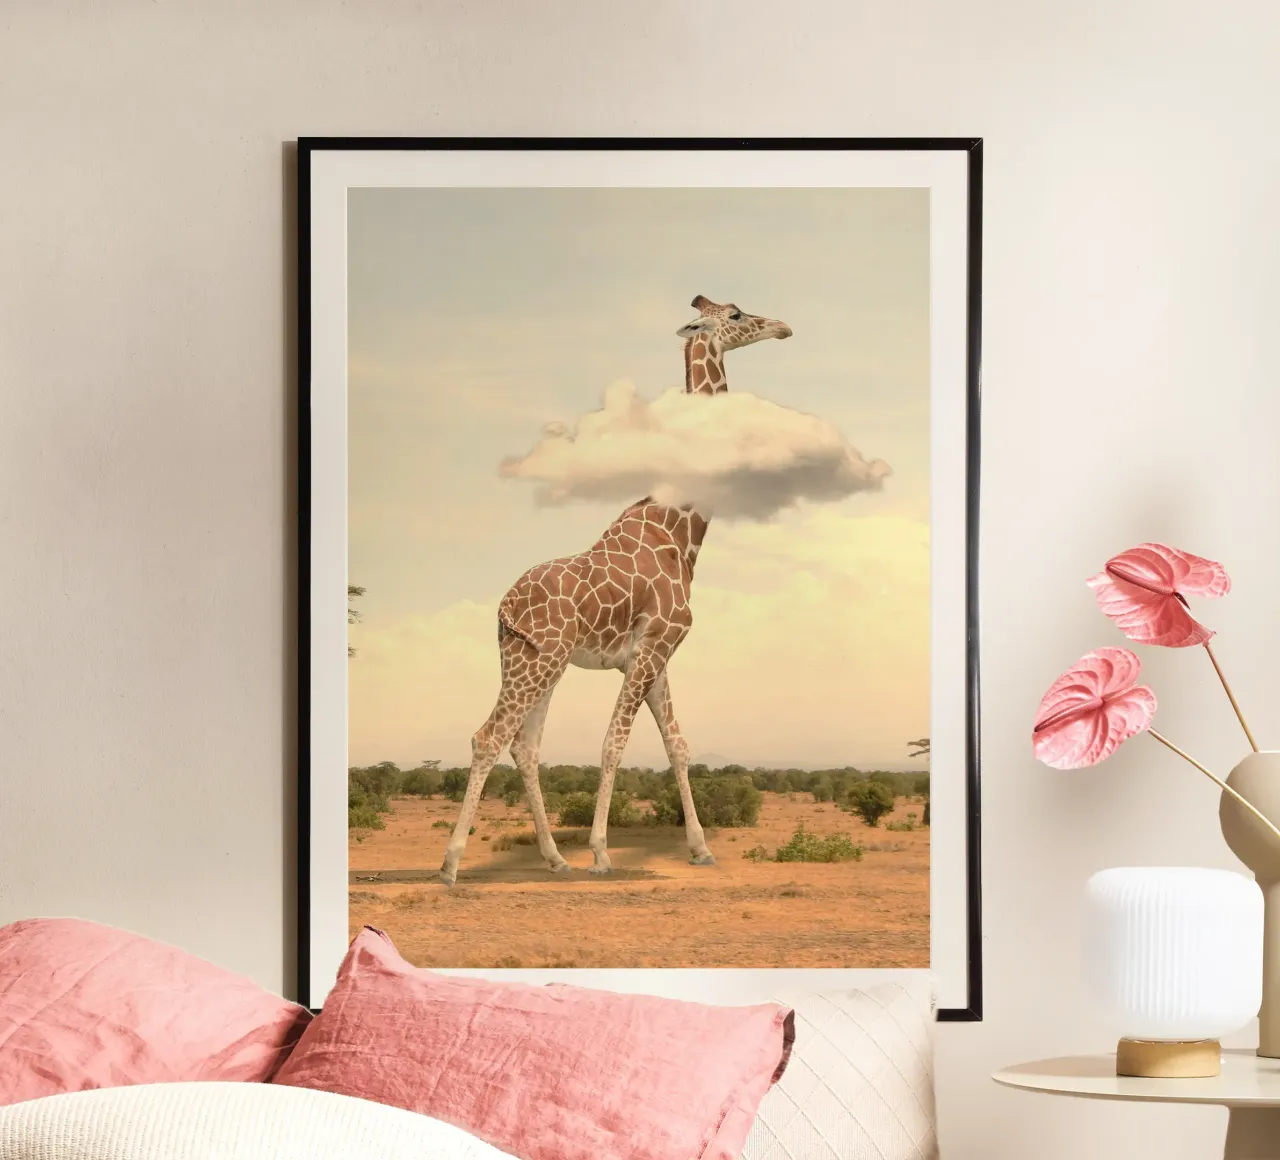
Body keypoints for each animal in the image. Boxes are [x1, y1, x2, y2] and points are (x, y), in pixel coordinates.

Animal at [439, 295, 793, 886]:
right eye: (737, 315)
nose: (783, 327)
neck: (681, 531)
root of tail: (504, 609)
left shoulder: (654, 656)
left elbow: (678, 745)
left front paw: (700, 848)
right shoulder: (652, 649)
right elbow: (614, 744)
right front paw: (603, 853)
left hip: (534, 660)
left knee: (524, 745)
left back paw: (555, 858)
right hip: (540, 661)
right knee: (489, 736)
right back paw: (451, 864)